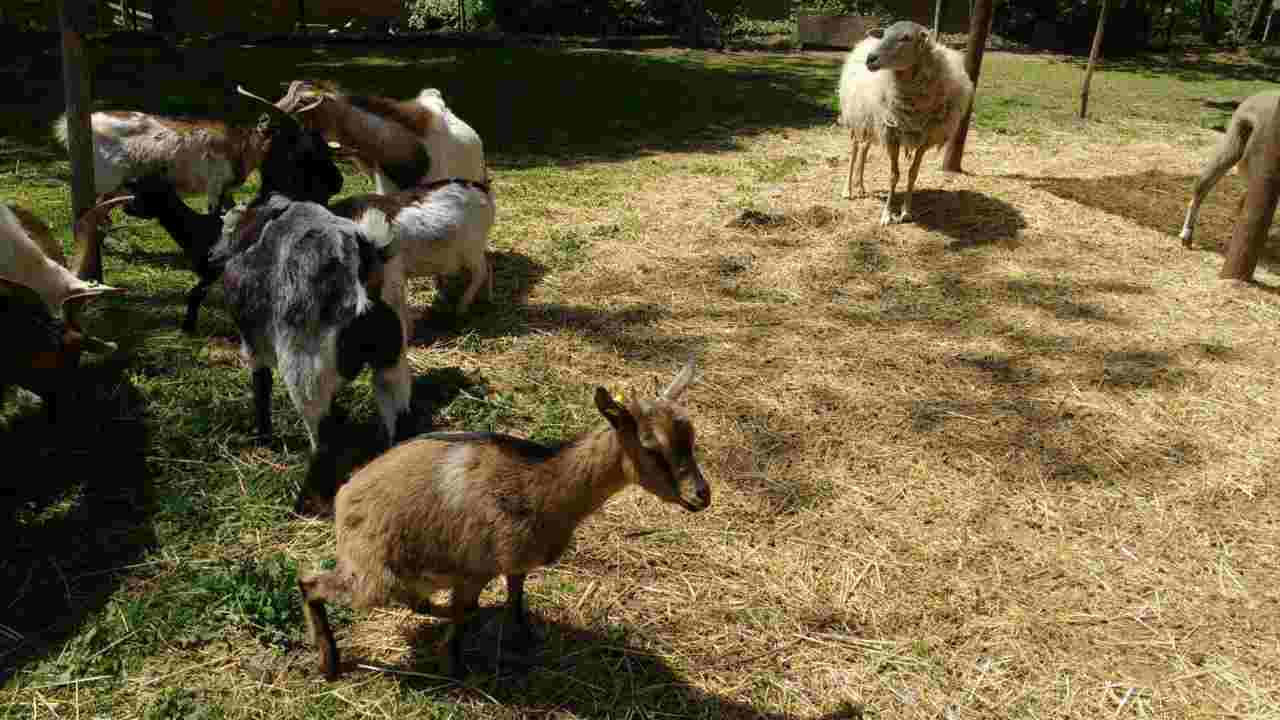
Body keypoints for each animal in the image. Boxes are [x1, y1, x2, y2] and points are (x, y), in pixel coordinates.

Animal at [296, 358, 711, 676]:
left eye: (691, 437)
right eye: (650, 447)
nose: (701, 495)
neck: (545, 485)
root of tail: (345, 496)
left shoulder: (514, 563)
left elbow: (514, 596)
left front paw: (520, 636)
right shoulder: (474, 570)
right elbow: (463, 615)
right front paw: (455, 667)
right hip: (373, 575)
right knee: (310, 583)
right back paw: (328, 663)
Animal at [834, 22, 972, 222]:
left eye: (906, 38)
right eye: (884, 35)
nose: (871, 59)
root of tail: (864, 42)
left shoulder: (924, 139)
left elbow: (913, 174)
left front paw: (906, 211)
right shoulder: (892, 135)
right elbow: (893, 175)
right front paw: (887, 214)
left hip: (871, 122)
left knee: (864, 148)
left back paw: (860, 187)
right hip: (856, 117)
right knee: (854, 150)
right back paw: (848, 190)